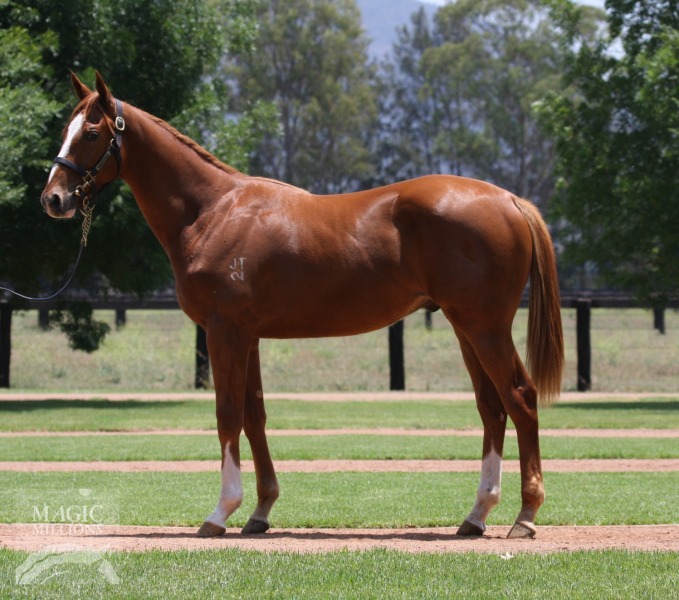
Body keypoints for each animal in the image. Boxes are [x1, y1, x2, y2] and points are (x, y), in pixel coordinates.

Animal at [41, 72, 564, 539]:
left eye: (91, 133)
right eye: (64, 130)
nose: (54, 199)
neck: (212, 212)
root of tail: (510, 200)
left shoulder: (224, 331)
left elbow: (227, 414)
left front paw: (220, 513)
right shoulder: (247, 335)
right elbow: (254, 415)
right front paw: (260, 511)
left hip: (485, 327)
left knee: (520, 398)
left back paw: (525, 516)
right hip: (464, 326)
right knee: (491, 408)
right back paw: (476, 516)